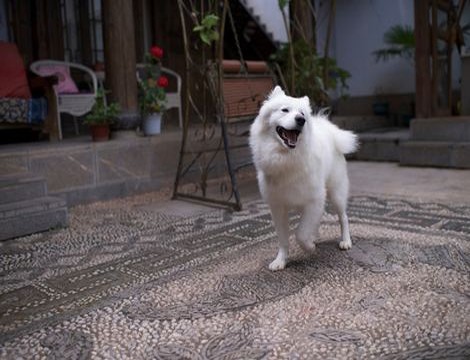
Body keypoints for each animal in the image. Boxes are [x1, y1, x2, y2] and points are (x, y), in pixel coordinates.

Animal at [252, 86, 358, 270]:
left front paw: (309, 247)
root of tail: (330, 130)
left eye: (302, 113)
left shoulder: (314, 199)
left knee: (343, 217)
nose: (301, 120)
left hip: (336, 193)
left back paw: (345, 241)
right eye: (284, 110)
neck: (286, 158)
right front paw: (280, 261)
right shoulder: (278, 206)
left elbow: (300, 233)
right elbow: (284, 238)